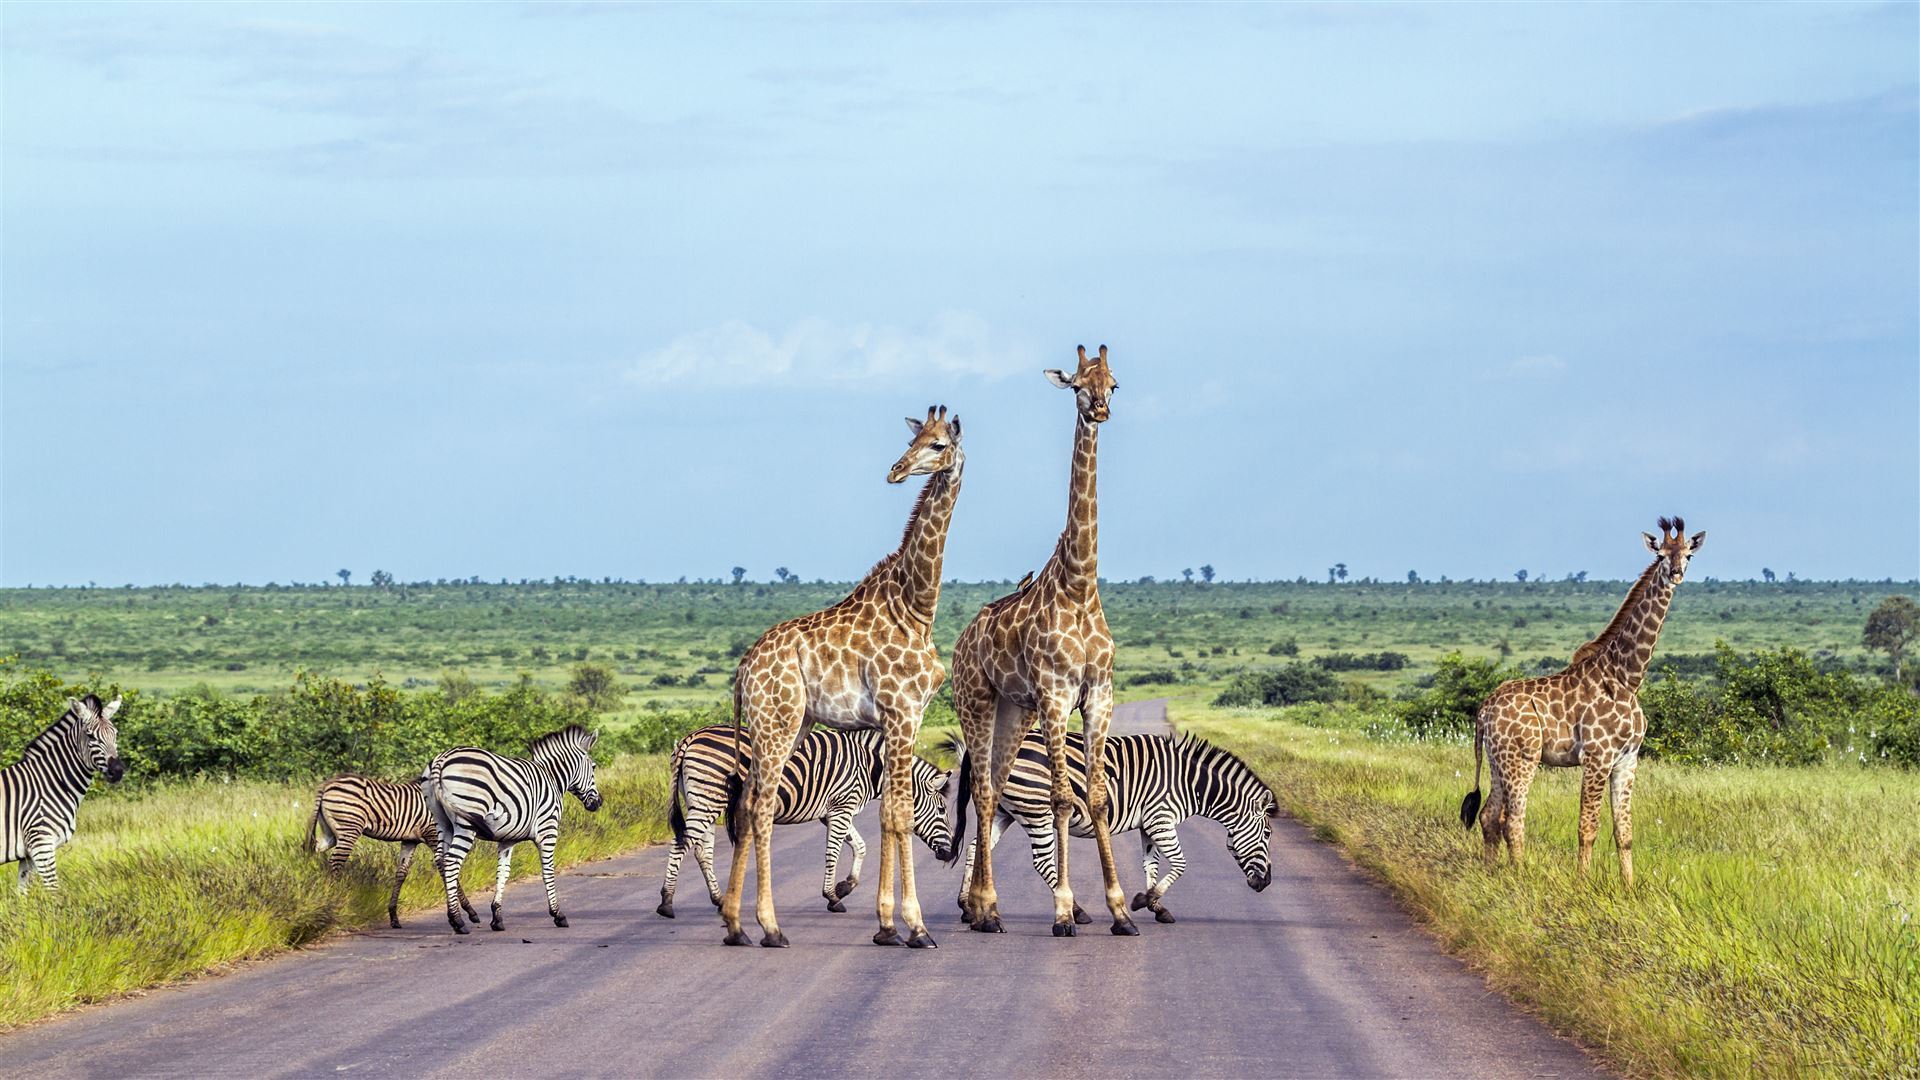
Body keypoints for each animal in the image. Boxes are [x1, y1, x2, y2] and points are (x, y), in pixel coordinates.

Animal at [3, 694, 126, 892]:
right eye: (90, 736)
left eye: (115, 734)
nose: (118, 771)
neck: (49, 782)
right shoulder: (42, 844)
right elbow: (54, 891)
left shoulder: (28, 854)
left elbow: (22, 894)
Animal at [306, 774, 480, 929]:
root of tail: (327, 785)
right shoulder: (432, 834)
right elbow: (446, 868)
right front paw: (469, 912)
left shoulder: (410, 840)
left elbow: (401, 873)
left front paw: (393, 917)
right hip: (349, 828)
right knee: (335, 864)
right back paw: (335, 902)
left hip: (330, 834)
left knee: (315, 852)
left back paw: (316, 891)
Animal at [422, 725, 601, 935]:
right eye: (594, 767)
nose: (598, 803)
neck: (553, 778)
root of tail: (442, 759)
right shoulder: (548, 829)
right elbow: (547, 870)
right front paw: (558, 914)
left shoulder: (507, 838)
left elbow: (503, 872)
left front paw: (497, 918)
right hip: (465, 823)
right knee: (451, 861)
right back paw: (458, 921)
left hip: (442, 822)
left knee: (440, 860)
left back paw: (456, 916)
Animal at [655, 725, 955, 919]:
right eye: (942, 810)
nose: (950, 853)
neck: (871, 768)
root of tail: (691, 737)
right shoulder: (842, 807)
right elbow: (833, 852)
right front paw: (832, 896)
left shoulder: (832, 811)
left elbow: (860, 847)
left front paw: (845, 887)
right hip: (709, 796)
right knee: (682, 844)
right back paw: (667, 902)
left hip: (703, 799)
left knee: (701, 850)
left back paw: (718, 899)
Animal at [953, 729, 1277, 924]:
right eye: (1268, 834)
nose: (1266, 883)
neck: (1189, 783)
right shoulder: (1161, 818)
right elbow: (1180, 864)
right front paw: (1144, 900)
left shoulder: (1149, 823)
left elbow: (1151, 864)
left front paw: (1156, 906)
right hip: (1036, 809)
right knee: (1042, 861)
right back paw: (1077, 911)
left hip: (1004, 810)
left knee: (976, 847)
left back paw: (967, 906)